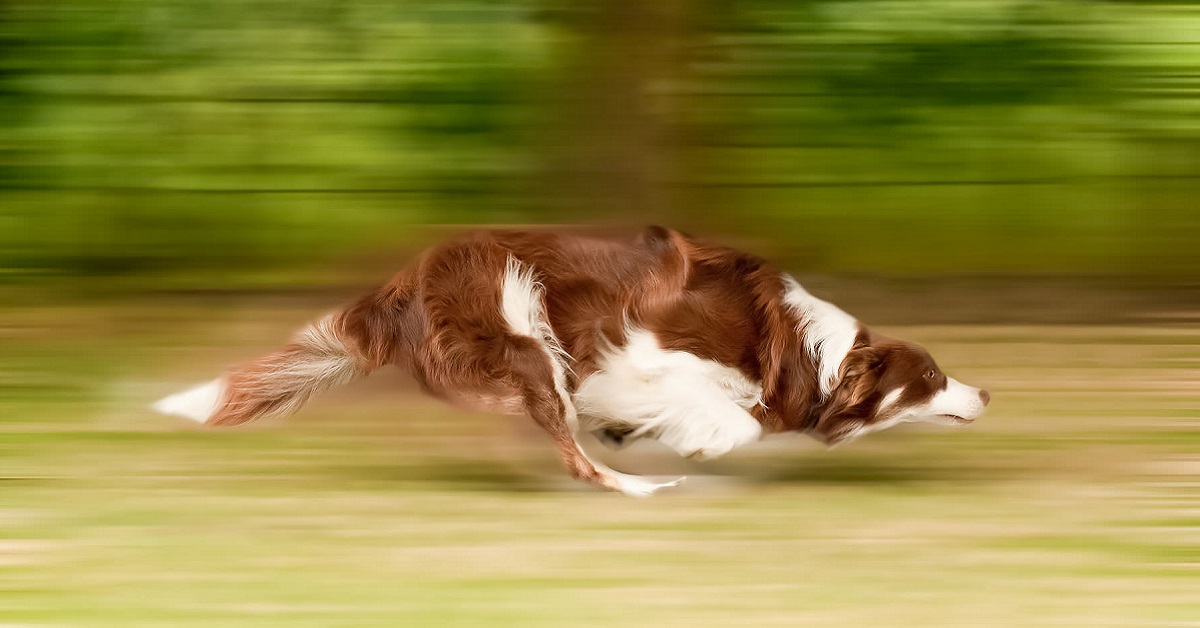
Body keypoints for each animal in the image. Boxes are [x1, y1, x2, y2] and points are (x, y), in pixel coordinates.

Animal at [154, 225, 988, 497]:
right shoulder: (639, 357)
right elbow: (728, 418)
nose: (985, 392)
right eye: (933, 377)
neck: (813, 350)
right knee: (571, 451)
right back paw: (638, 484)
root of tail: (400, 284)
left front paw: (644, 431)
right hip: (526, 331)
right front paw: (698, 440)